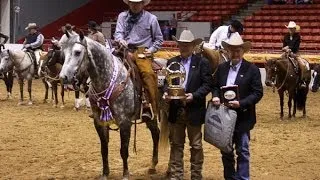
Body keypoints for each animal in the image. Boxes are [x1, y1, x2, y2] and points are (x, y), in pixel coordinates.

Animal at [59, 33, 159, 179]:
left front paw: (125, 174)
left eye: (77, 52)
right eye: (63, 52)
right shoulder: (99, 122)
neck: (108, 80)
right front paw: (105, 174)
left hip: (155, 113)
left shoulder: (125, 123)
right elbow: (104, 149)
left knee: (157, 134)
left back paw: (154, 165)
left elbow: (124, 150)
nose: (63, 77)